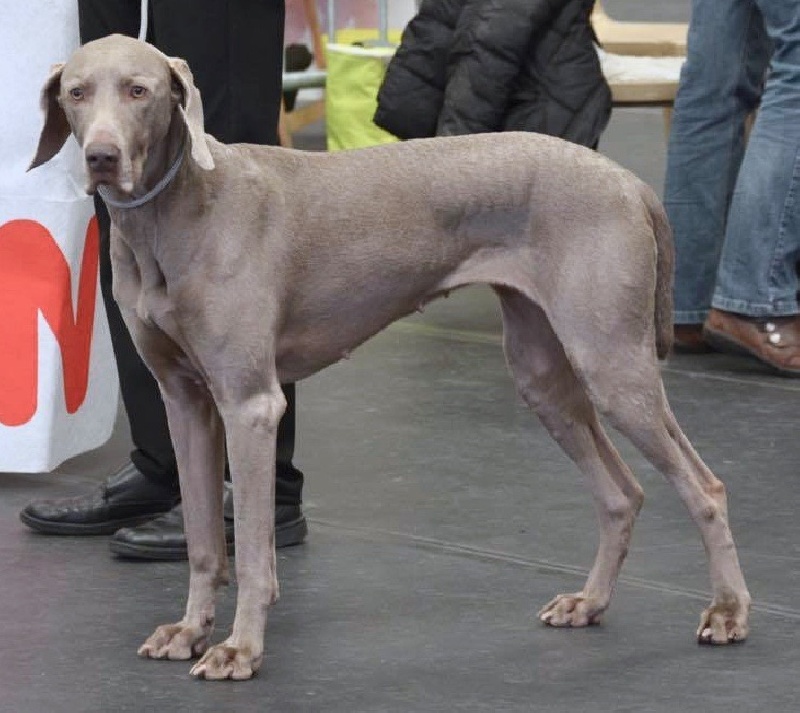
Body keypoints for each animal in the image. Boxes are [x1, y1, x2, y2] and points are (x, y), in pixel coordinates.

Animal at [29, 35, 750, 680]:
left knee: (706, 486)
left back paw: (727, 611)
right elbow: (206, 541)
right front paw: (188, 631)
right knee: (622, 493)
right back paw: (590, 601)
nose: (101, 157)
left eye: (140, 91)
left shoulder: (250, 404)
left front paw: (240, 649)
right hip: (544, 374)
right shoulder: (186, 403)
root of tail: (628, 181)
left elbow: (256, 551)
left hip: (613, 364)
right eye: (75, 93)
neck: (173, 217)